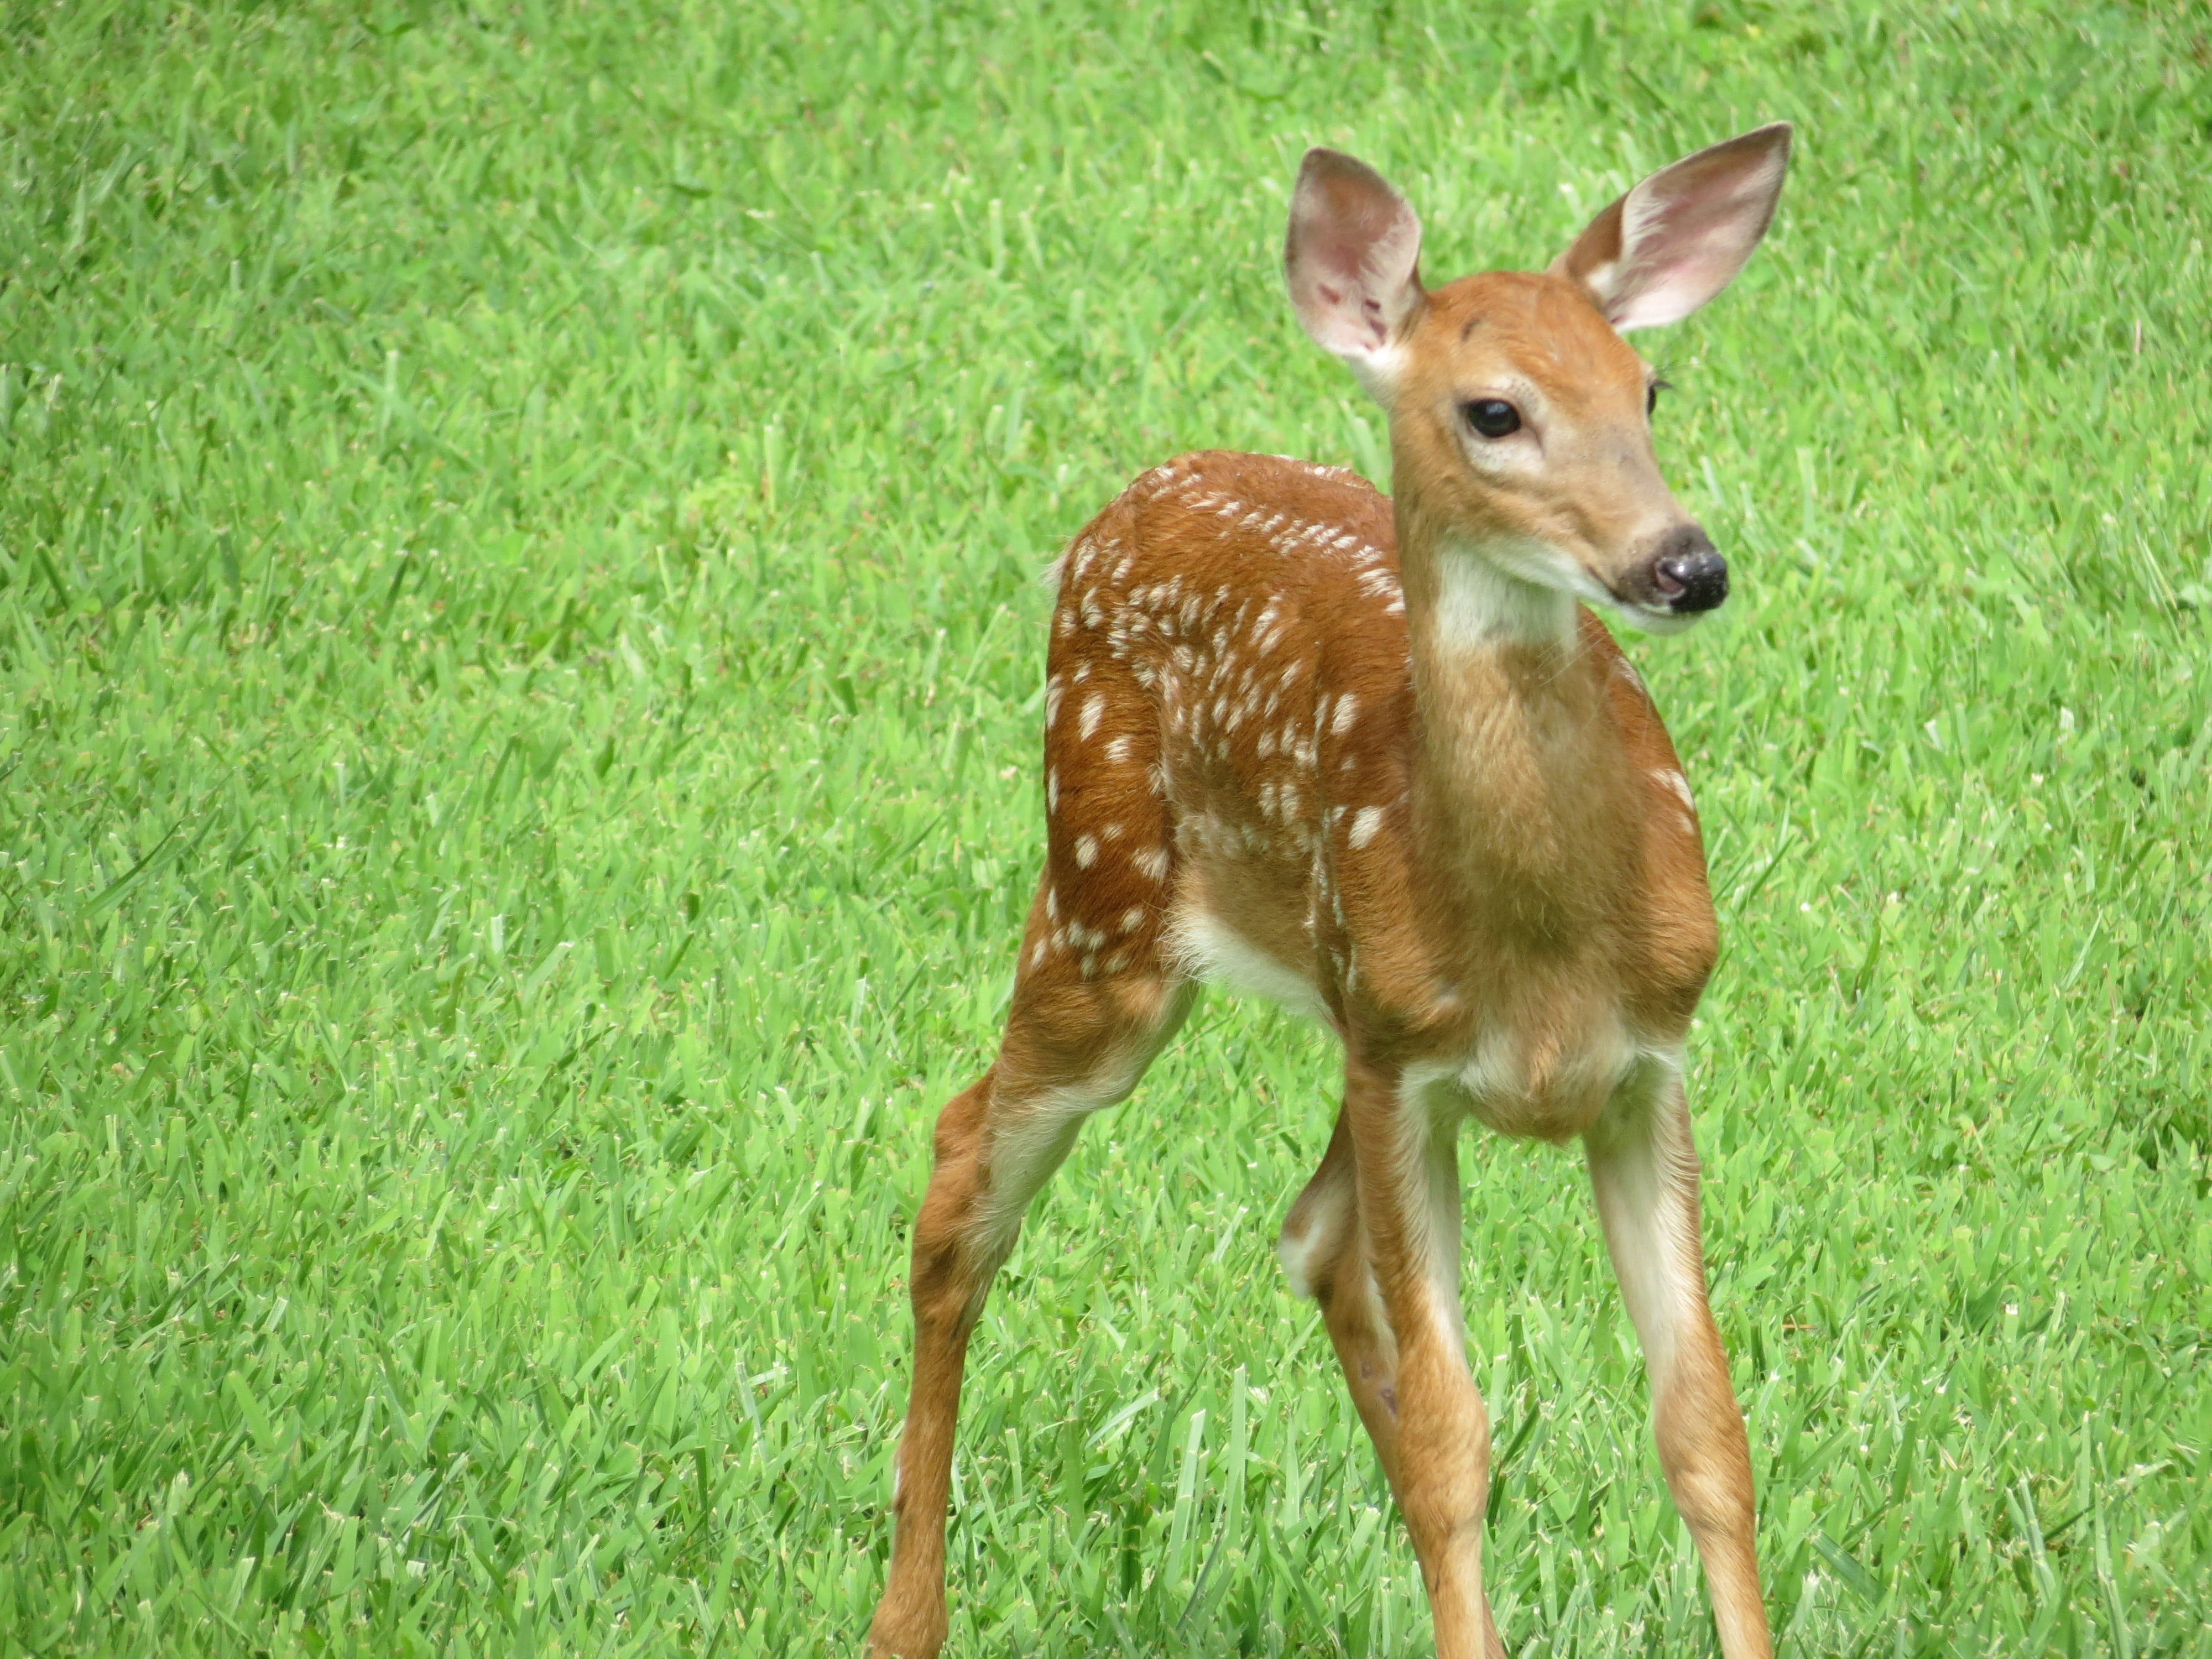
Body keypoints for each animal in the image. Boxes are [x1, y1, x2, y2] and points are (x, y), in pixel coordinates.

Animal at [866, 122, 1794, 1659]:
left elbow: (1704, 1433)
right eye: (1494, 412)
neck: (1541, 951)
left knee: (1309, 1239)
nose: (1685, 564)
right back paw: (907, 1617)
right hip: (1104, 903)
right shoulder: (1408, 1073)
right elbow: (1453, 1439)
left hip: (1324, 1000)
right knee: (960, 1170)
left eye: (1647, 387)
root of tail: (1133, 493)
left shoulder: (1645, 1060)